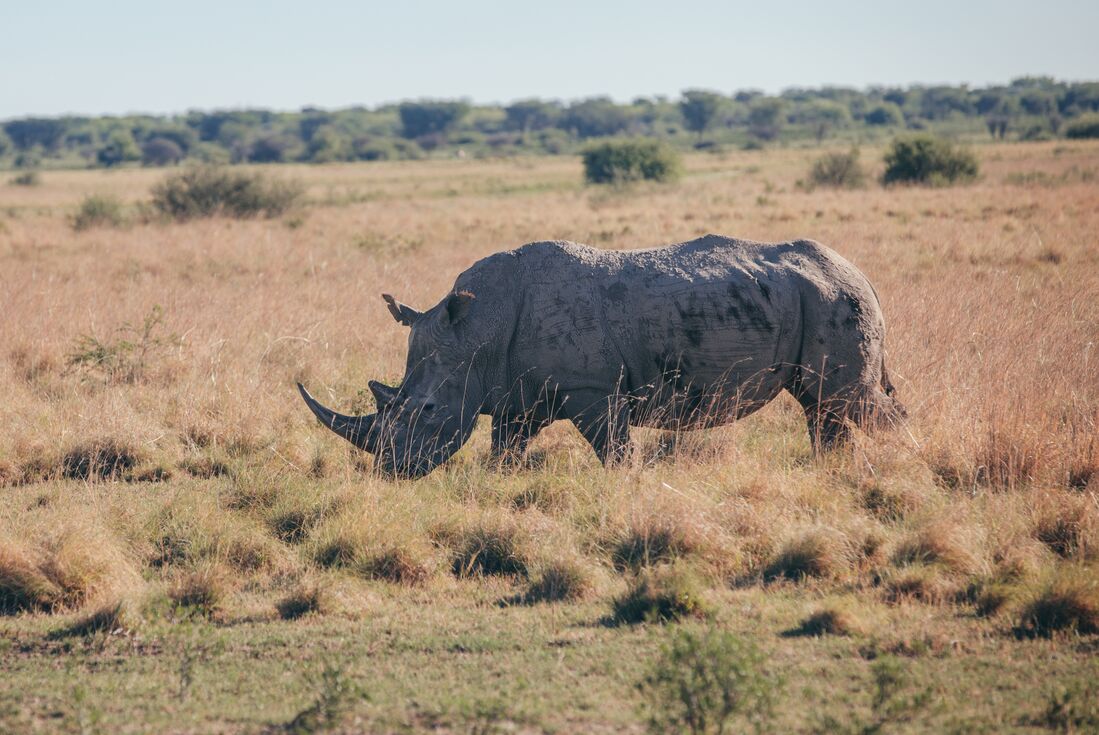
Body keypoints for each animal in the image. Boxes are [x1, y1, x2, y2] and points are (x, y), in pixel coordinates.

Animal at [298, 234, 904, 478]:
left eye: (425, 413)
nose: (391, 471)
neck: (476, 331)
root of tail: (862, 273)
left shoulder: (592, 391)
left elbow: (615, 451)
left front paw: (627, 485)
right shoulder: (516, 393)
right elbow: (504, 450)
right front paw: (501, 484)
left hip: (832, 299)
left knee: (848, 401)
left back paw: (901, 467)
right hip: (815, 298)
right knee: (823, 407)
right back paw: (833, 469)